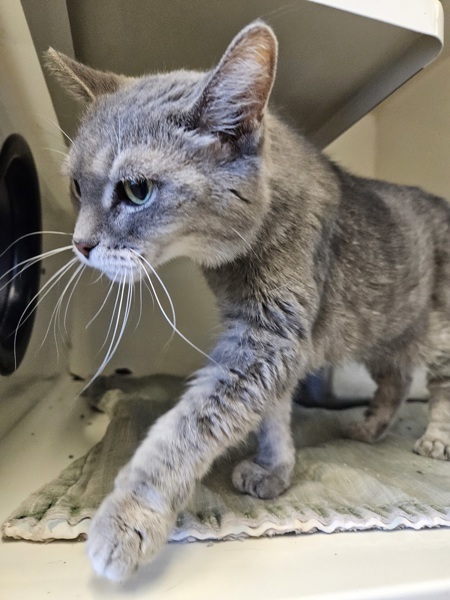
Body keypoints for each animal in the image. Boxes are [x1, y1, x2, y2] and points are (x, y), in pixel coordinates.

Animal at [45, 22, 450, 580]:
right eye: (77, 186)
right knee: (395, 380)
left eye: (136, 189)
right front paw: (276, 468)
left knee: (439, 387)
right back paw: (370, 426)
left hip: (435, 334)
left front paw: (128, 519)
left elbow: (186, 430)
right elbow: (273, 416)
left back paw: (435, 438)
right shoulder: (267, 344)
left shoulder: (268, 341)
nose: (80, 246)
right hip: (381, 331)